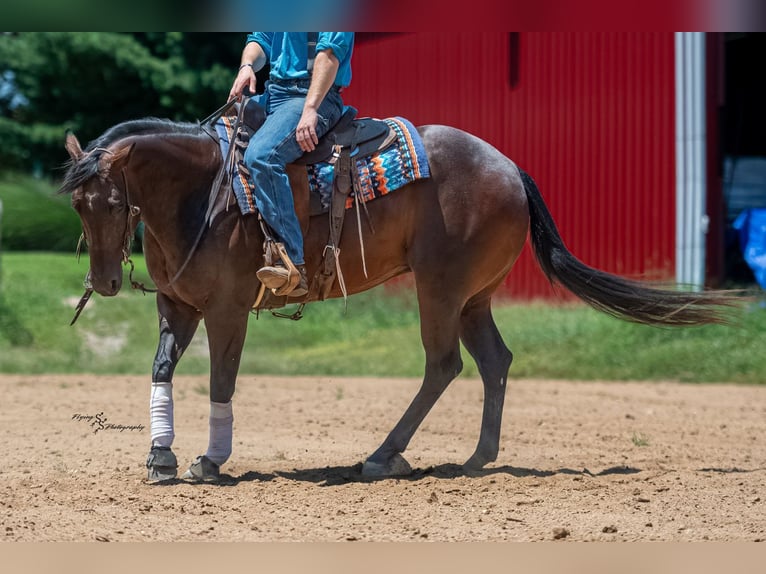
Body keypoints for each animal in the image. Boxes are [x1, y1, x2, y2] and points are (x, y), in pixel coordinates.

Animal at [60, 116, 739, 481]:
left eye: (114, 202)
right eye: (78, 204)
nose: (106, 282)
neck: (205, 193)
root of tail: (509, 166)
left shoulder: (228, 311)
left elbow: (221, 382)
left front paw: (211, 458)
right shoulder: (176, 308)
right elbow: (160, 371)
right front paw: (161, 457)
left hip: (439, 288)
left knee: (444, 364)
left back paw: (384, 456)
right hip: (472, 297)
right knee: (494, 361)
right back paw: (476, 458)